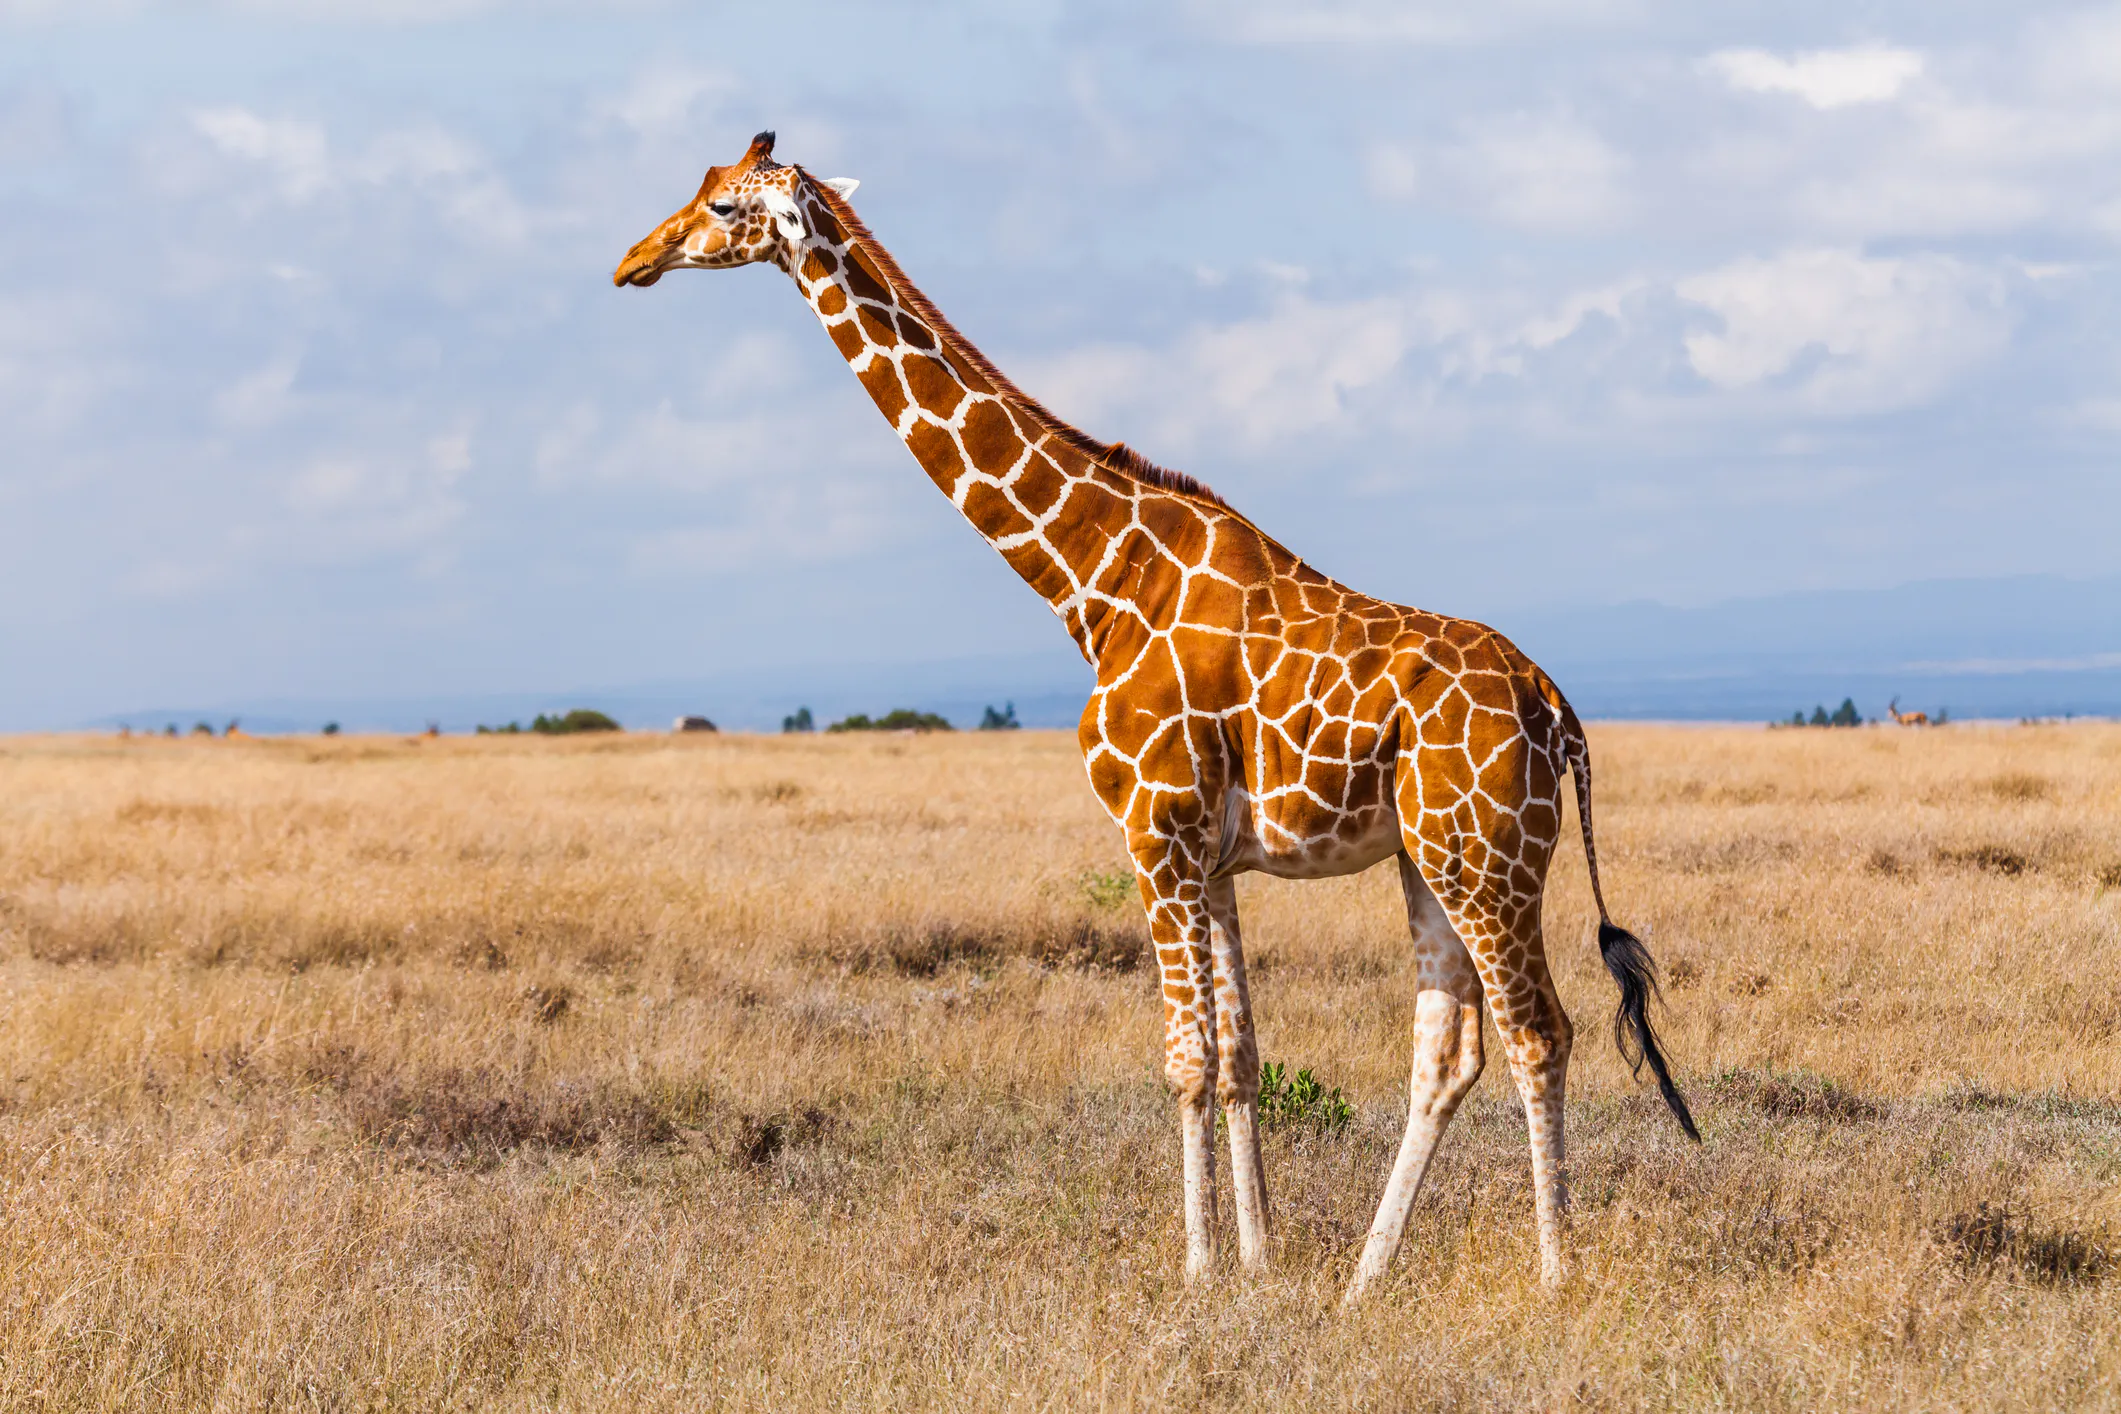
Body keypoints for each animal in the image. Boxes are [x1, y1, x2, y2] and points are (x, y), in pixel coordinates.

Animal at [614, 133, 1699, 1301]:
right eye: (695, 189)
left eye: (724, 207)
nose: (635, 260)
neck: (1089, 577)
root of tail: (1559, 711)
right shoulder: (1211, 857)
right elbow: (1240, 1060)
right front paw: (1260, 1261)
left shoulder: (1152, 830)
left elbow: (1184, 1059)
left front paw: (1197, 1270)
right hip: (1431, 856)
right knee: (1449, 1052)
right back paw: (1364, 1279)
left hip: (1488, 858)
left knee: (1541, 1031)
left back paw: (1553, 1272)